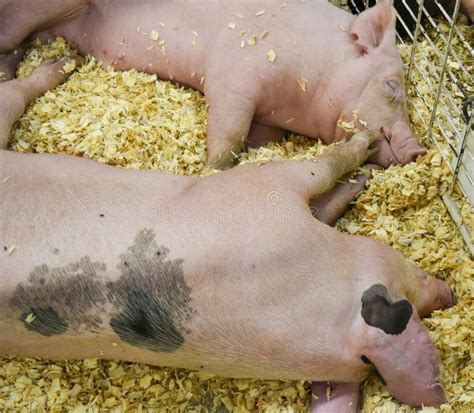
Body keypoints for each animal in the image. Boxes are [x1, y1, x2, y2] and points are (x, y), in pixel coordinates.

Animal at [0, 0, 426, 167]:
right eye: (392, 87)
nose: (419, 149)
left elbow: (255, 138)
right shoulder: (234, 75)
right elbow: (229, 133)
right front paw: (213, 168)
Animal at [0, 59, 452, 410]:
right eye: (405, 275)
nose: (450, 294)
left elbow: (328, 204)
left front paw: (368, 173)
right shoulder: (268, 187)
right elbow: (327, 168)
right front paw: (367, 144)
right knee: (14, 92)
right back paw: (58, 65)